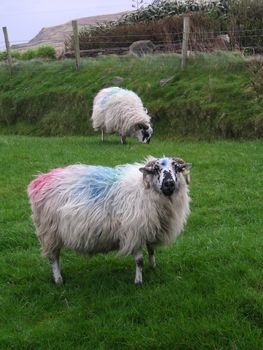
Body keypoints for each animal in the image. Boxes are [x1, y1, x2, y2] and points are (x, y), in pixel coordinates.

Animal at [27, 156, 193, 284]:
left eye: (177, 168)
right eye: (156, 169)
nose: (169, 183)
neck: (145, 189)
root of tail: (39, 180)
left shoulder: (149, 227)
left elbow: (151, 250)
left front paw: (153, 267)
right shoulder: (134, 231)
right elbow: (139, 260)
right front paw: (138, 281)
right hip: (50, 231)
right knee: (53, 257)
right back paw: (58, 279)